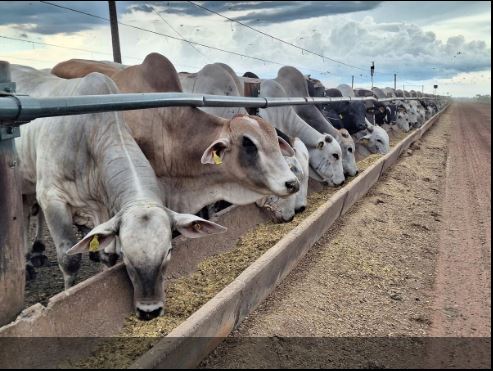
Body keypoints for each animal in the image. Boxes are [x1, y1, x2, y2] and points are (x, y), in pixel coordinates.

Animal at [12, 65, 225, 322]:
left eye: (169, 251)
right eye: (128, 256)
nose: (149, 311)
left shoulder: (104, 212)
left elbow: (105, 255)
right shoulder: (51, 197)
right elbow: (70, 258)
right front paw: (68, 295)